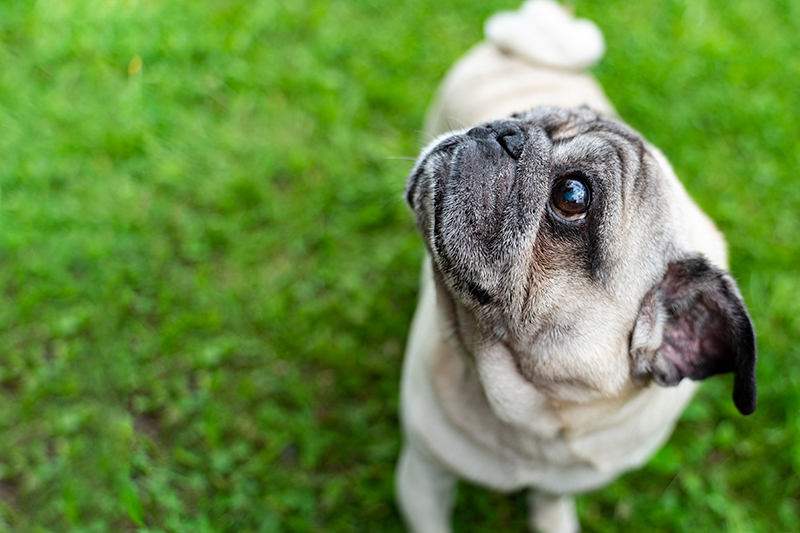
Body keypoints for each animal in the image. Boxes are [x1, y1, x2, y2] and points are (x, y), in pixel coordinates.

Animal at [396, 2, 760, 528]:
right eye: (517, 116)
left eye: (572, 196)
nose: (500, 129)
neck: (538, 418)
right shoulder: (423, 478)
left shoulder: (566, 480)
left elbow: (550, 501)